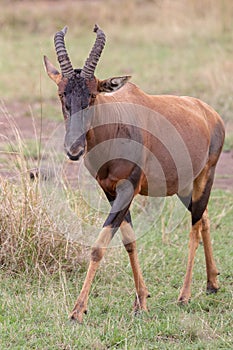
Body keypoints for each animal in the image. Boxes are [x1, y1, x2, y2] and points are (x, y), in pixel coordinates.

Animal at [43, 24, 224, 322]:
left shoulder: (129, 187)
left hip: (205, 176)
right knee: (205, 218)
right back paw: (212, 283)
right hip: (184, 187)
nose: (74, 149)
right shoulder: (109, 190)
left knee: (195, 227)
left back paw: (184, 296)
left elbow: (99, 246)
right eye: (61, 95)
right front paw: (141, 300)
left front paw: (78, 310)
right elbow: (129, 241)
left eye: (92, 94)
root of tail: (210, 113)